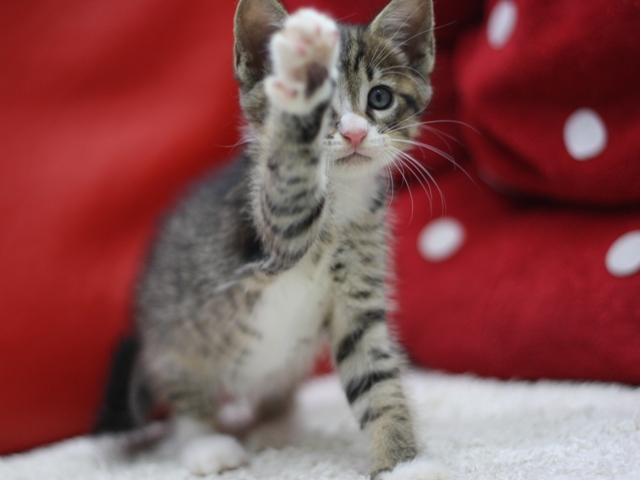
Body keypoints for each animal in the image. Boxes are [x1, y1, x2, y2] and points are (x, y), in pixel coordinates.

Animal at [96, 0, 444, 478]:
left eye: (380, 98)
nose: (355, 132)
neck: (341, 202)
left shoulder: (358, 299)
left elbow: (377, 381)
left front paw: (401, 463)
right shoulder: (264, 227)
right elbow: (290, 193)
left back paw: (275, 426)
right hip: (175, 335)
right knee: (187, 395)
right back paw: (206, 444)